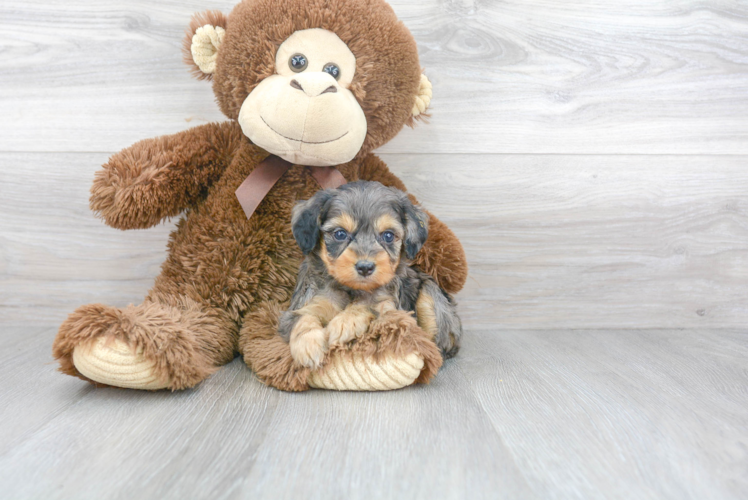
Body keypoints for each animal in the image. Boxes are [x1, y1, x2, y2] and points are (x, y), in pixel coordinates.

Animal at [276, 182, 462, 370]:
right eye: (340, 234)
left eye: (388, 235)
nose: (365, 267)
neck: (351, 289)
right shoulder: (307, 303)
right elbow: (303, 317)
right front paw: (308, 346)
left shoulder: (390, 308)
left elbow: (369, 304)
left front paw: (344, 323)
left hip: (431, 294)